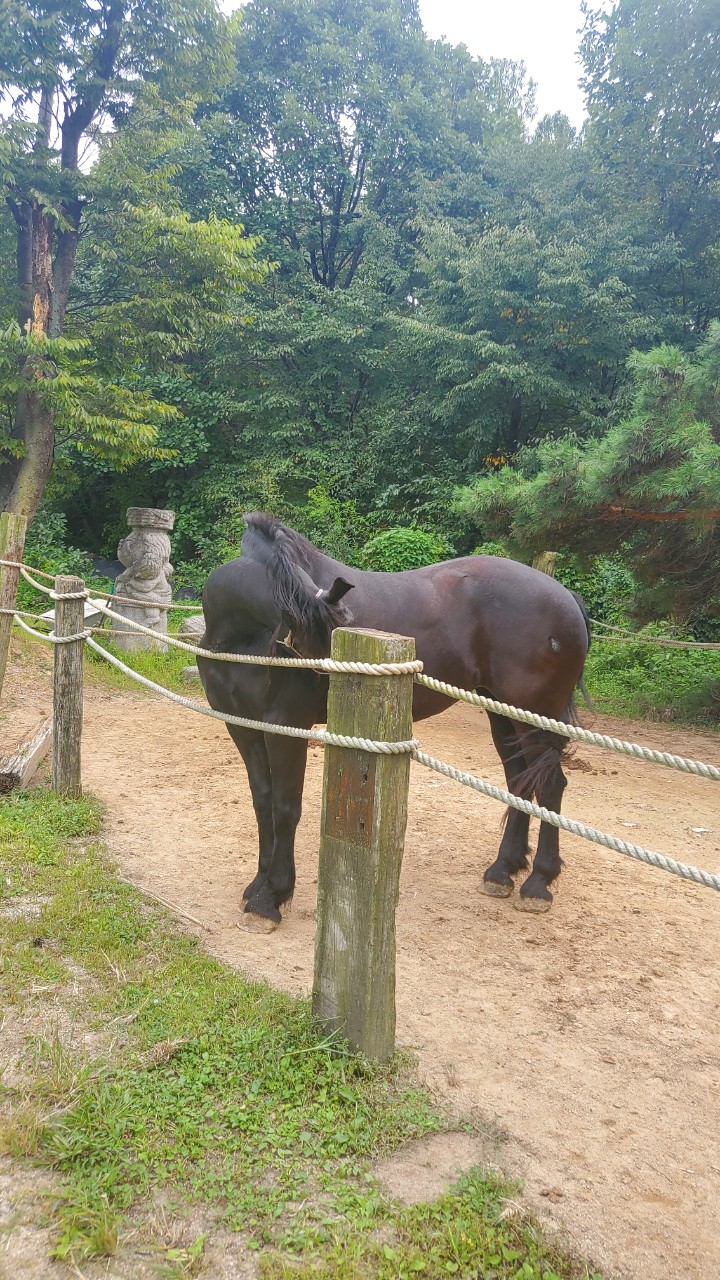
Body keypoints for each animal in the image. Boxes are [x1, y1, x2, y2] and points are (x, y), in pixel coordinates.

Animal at [197, 512, 591, 931]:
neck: (238, 638)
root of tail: (565, 596)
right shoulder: (243, 727)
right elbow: (263, 802)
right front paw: (257, 886)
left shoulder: (287, 726)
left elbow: (286, 806)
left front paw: (271, 897)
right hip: (503, 713)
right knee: (520, 782)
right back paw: (503, 870)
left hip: (536, 719)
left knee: (549, 785)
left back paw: (539, 882)